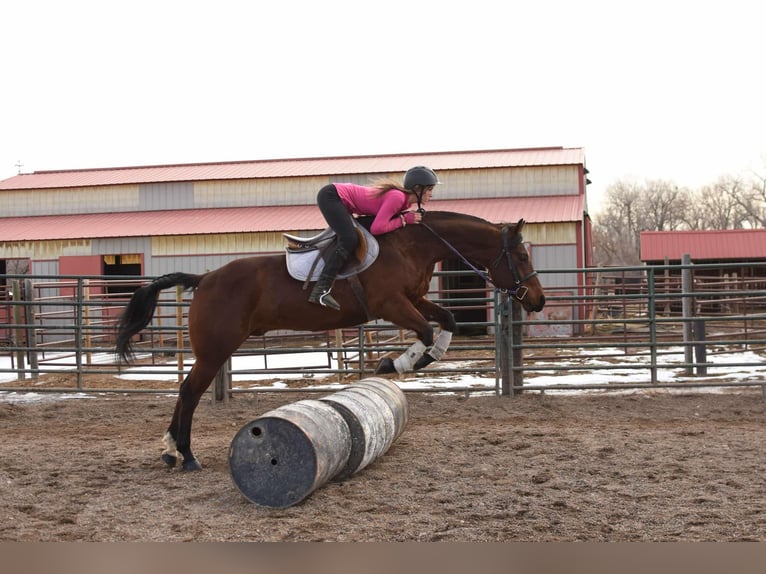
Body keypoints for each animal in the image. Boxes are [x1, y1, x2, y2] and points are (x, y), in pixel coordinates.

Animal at [112, 212, 544, 472]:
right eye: (522, 256)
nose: (538, 300)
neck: (412, 245)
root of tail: (204, 279)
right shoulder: (392, 304)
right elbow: (423, 331)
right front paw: (395, 363)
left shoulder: (413, 299)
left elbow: (447, 320)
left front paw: (424, 358)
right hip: (216, 350)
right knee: (189, 391)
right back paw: (185, 455)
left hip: (216, 350)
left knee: (187, 391)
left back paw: (170, 451)